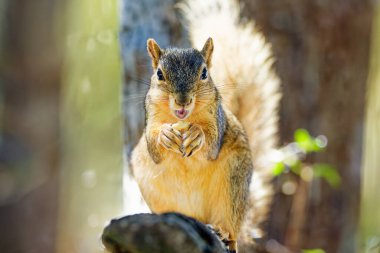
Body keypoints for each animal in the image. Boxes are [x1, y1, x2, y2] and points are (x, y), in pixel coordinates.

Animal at [131, 0, 282, 251]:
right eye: (159, 74)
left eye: (204, 73)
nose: (182, 101)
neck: (183, 119)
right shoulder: (150, 116)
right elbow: (154, 147)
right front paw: (165, 135)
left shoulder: (216, 120)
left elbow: (211, 144)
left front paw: (197, 134)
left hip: (232, 185)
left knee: (229, 224)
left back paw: (225, 234)